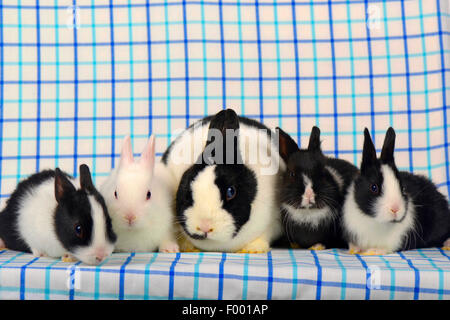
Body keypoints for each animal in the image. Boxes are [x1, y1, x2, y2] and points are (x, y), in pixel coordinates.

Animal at [162, 109, 284, 254]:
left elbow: (264, 235)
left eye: (231, 192)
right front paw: (187, 247)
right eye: (188, 188)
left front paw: (253, 249)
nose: (205, 227)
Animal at [342, 127, 450, 255]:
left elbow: (386, 248)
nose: (395, 209)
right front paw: (354, 249)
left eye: (402, 188)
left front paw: (373, 251)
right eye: (374, 187)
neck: (376, 222)